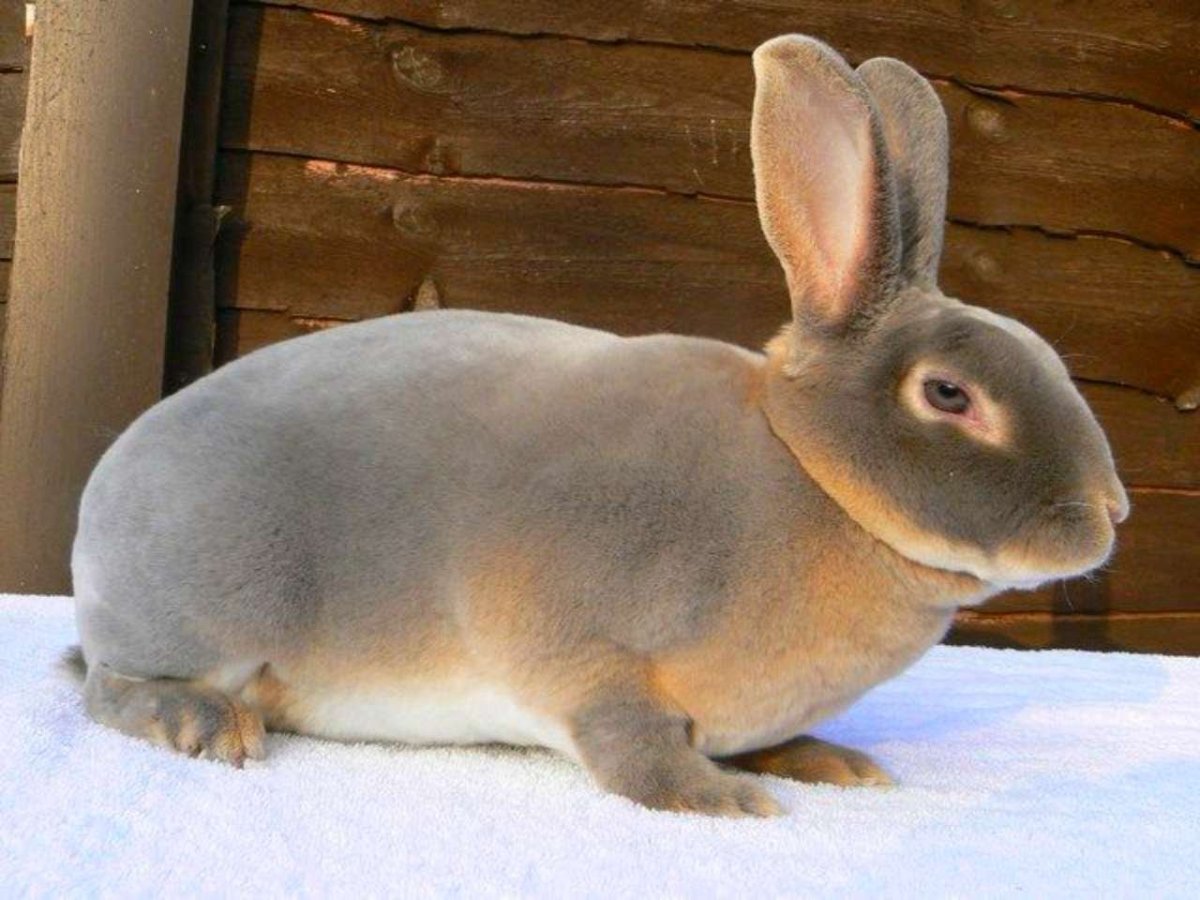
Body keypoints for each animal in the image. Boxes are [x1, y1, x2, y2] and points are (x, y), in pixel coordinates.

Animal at [66, 35, 1127, 818]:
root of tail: (97, 512)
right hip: (209, 609)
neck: (803, 473)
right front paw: (721, 799)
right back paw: (207, 726)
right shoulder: (587, 650)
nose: (1111, 510)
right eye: (948, 395)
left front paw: (832, 763)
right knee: (106, 688)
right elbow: (630, 743)